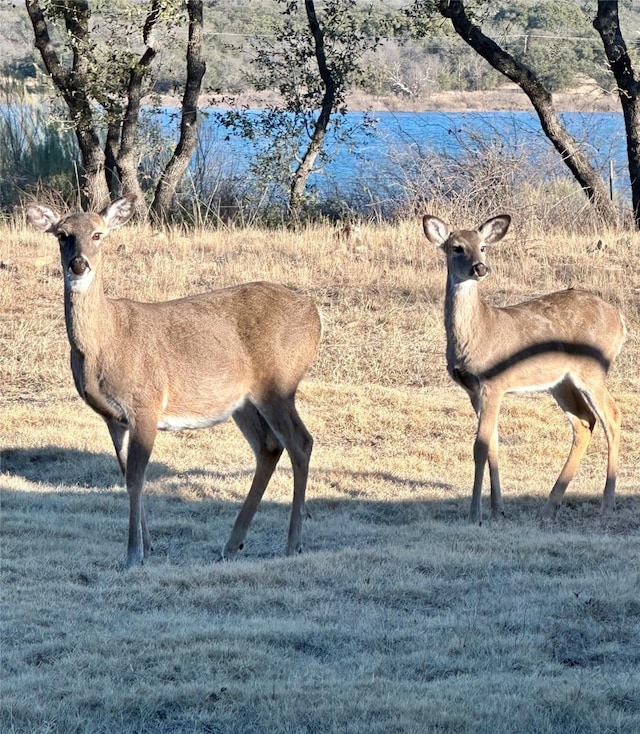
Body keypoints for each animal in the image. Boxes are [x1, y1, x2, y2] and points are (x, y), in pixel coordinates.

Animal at [27, 196, 322, 568]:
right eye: (62, 234)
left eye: (98, 234)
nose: (78, 265)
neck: (105, 341)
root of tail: (315, 313)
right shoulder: (113, 417)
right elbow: (125, 473)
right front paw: (148, 546)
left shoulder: (146, 402)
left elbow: (137, 477)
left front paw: (133, 554)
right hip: (242, 401)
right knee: (269, 447)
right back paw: (232, 545)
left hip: (279, 384)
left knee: (301, 442)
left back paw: (292, 544)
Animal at [422, 216, 628, 528]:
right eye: (456, 247)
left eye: (483, 246)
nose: (480, 268)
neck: (479, 332)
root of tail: (621, 319)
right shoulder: (473, 391)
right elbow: (493, 445)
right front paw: (498, 510)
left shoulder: (493, 383)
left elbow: (480, 446)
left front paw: (475, 514)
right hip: (561, 383)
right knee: (584, 422)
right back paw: (549, 508)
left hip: (592, 369)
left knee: (611, 416)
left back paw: (605, 508)